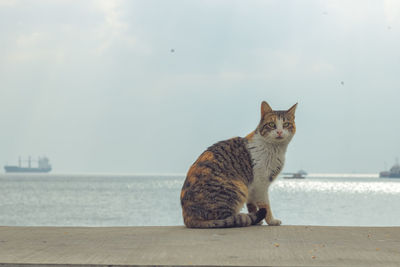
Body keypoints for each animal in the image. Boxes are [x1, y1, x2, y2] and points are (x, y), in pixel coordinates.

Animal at [180, 101, 296, 229]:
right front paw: (271, 221)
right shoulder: (260, 184)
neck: (275, 148)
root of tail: (187, 218)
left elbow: (251, 204)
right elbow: (265, 206)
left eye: (286, 124)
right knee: (228, 219)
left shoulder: (252, 187)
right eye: (271, 124)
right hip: (238, 188)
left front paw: (257, 220)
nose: (279, 132)